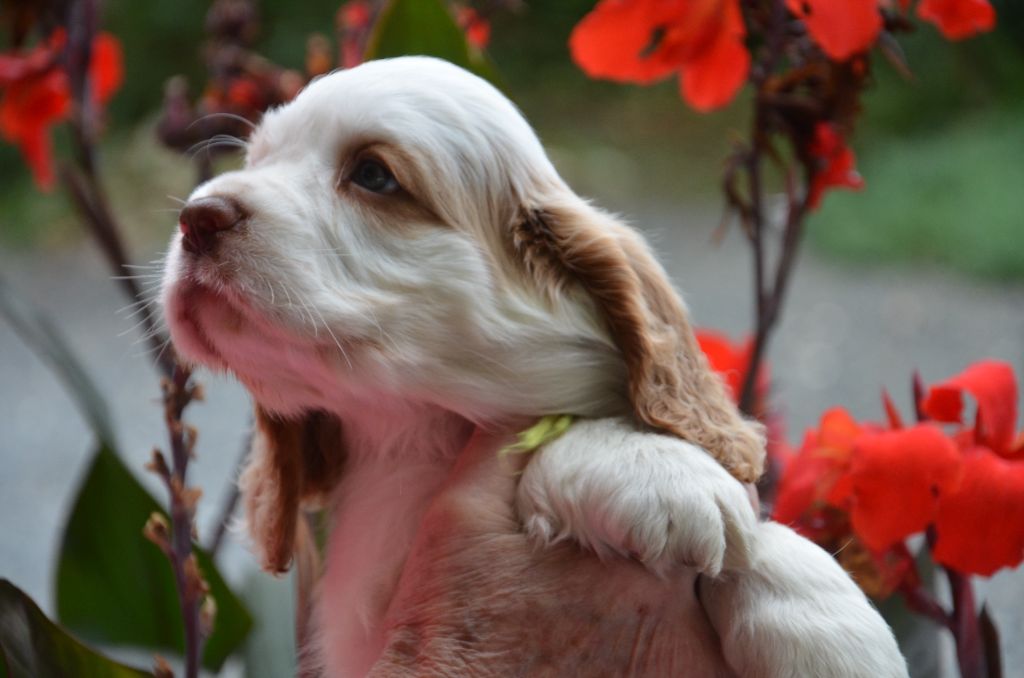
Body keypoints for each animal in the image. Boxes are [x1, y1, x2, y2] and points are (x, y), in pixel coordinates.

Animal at [163, 55, 909, 675]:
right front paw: (654, 471)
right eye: (257, 159)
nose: (195, 217)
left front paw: (830, 634)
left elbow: (762, 540)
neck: (424, 439)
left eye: (374, 174)